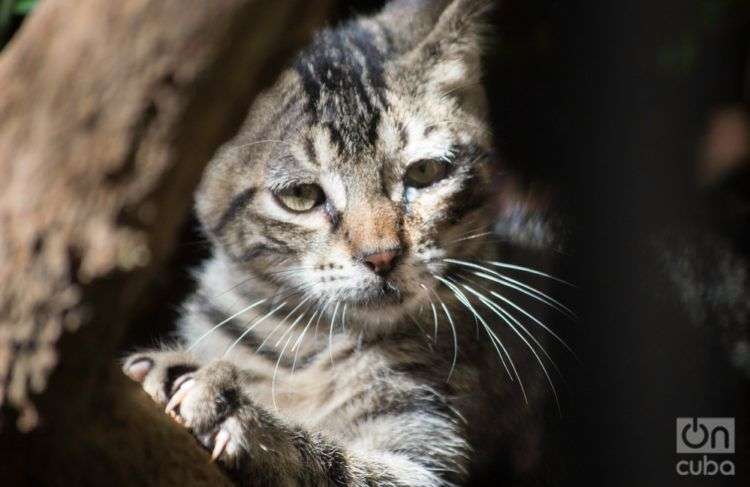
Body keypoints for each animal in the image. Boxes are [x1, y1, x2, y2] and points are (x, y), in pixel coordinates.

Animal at [125, 0, 568, 484]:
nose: (383, 256)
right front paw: (173, 370)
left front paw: (245, 417)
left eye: (425, 173)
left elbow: (342, 463)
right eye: (301, 196)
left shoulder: (428, 455)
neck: (304, 341)